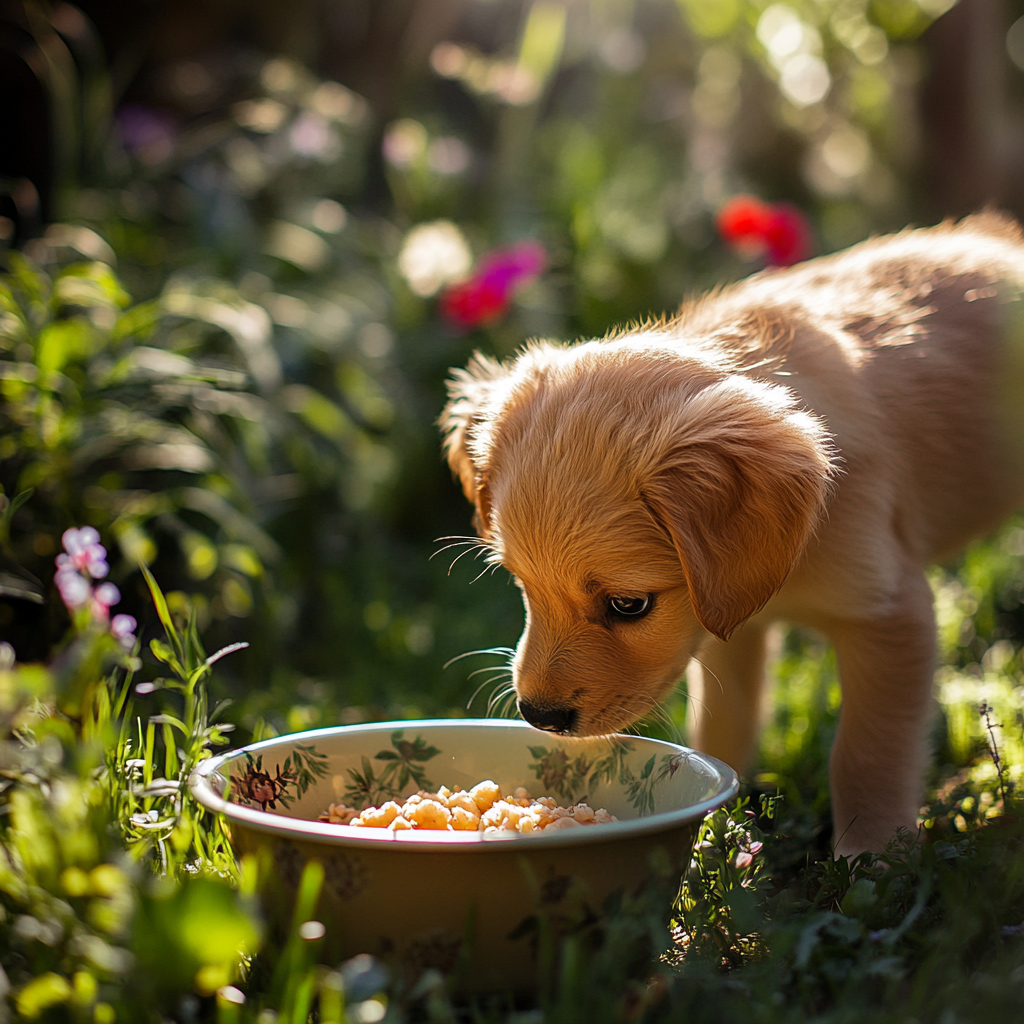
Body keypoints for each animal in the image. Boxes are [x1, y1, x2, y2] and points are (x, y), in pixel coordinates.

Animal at [444, 214, 1024, 856]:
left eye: (629, 605)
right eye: (522, 585)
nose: (539, 716)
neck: (799, 545)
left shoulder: (889, 612)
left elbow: (866, 751)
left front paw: (871, 855)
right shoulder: (727, 629)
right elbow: (723, 725)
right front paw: (715, 837)